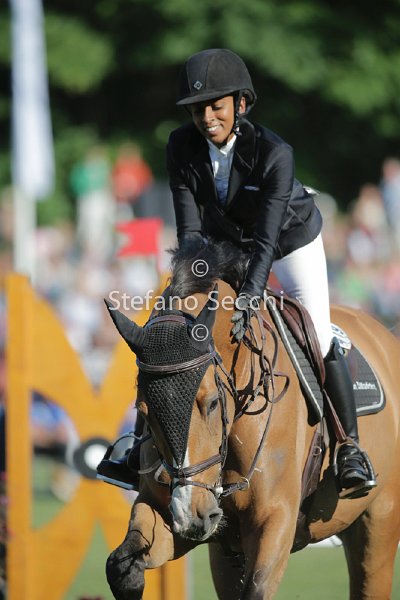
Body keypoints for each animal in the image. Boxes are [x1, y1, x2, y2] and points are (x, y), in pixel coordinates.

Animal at [104, 240, 400, 600]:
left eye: (212, 403)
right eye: (144, 412)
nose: (192, 516)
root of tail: (384, 335)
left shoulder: (275, 521)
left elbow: (257, 588)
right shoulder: (172, 513)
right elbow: (122, 566)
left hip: (378, 523)